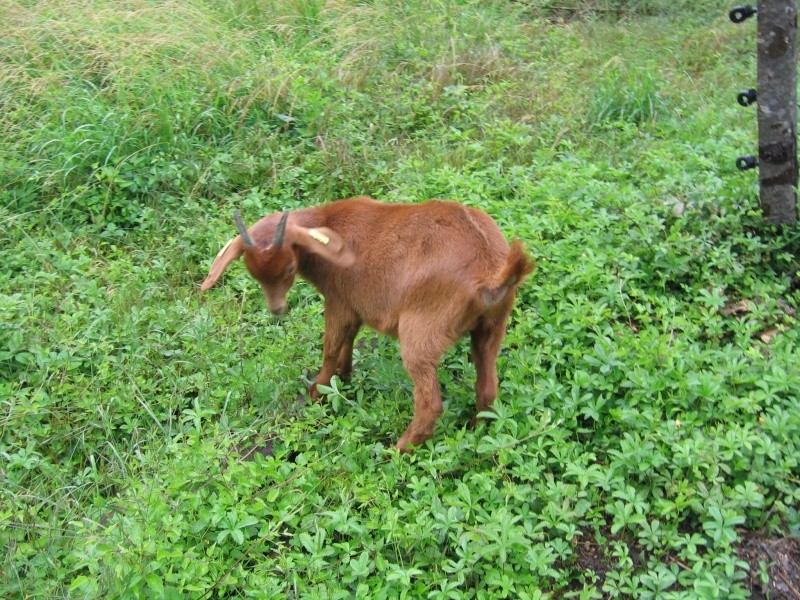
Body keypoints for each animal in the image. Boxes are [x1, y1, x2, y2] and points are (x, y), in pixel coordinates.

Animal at [203, 197, 536, 450]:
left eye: (288, 268)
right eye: (253, 273)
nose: (277, 309)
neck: (329, 228)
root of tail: (491, 271)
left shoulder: (339, 302)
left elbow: (330, 346)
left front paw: (317, 392)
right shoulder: (355, 305)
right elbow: (348, 340)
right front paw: (344, 375)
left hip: (421, 332)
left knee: (430, 404)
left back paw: (399, 450)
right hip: (493, 326)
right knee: (488, 387)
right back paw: (477, 429)